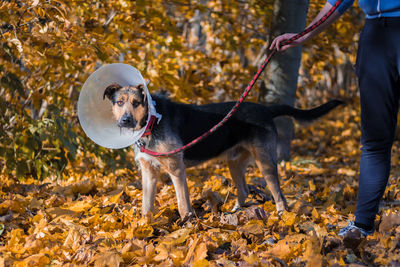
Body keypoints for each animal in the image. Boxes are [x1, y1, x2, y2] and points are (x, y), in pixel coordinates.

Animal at [101, 83, 342, 220]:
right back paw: (234, 213)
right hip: (234, 162)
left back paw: (283, 216)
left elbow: (182, 204)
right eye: (119, 102)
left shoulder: (176, 170)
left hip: (265, 162)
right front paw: (144, 227)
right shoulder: (149, 172)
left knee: (278, 193)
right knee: (243, 191)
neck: (153, 121)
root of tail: (266, 109)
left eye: (137, 102)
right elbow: (146, 205)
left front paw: (187, 224)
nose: (126, 120)